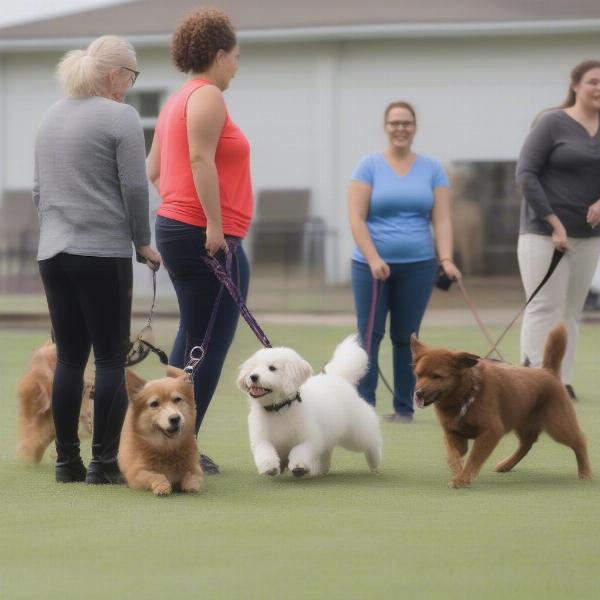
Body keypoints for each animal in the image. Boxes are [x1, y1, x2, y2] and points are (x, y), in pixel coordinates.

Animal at [118, 368, 204, 500]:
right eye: (154, 404)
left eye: (177, 399)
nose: (175, 418)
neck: (167, 448)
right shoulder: (137, 472)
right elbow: (156, 475)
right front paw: (162, 487)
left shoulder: (194, 467)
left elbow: (191, 475)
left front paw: (191, 486)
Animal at [236, 332, 382, 478]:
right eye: (253, 368)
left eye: (272, 368)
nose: (253, 376)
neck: (280, 408)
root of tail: (337, 377)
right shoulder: (261, 439)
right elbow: (265, 451)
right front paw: (269, 467)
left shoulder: (311, 439)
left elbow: (299, 450)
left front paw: (299, 467)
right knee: (327, 452)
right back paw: (321, 470)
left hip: (355, 432)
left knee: (372, 440)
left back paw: (375, 461)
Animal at [410, 324, 592, 488]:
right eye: (418, 375)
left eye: (437, 376)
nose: (418, 393)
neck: (466, 394)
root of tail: (548, 371)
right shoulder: (453, 433)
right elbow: (453, 454)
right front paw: (457, 471)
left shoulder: (491, 431)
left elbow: (474, 458)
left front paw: (463, 479)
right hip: (523, 423)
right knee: (527, 444)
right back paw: (506, 465)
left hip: (558, 426)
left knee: (579, 441)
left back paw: (585, 472)